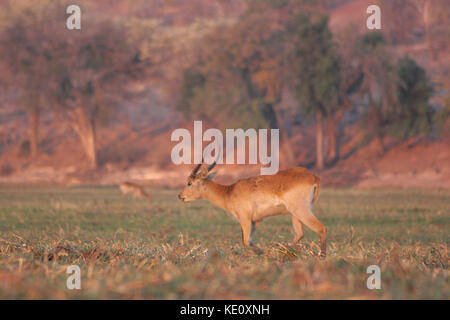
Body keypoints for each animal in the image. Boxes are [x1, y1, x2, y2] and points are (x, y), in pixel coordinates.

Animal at [179, 160, 326, 258]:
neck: (229, 192)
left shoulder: (245, 219)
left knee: (320, 228)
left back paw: (321, 256)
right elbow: (248, 241)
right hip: (295, 214)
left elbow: (245, 241)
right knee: (299, 234)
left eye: (189, 183)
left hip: (301, 211)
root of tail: (313, 177)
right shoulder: (256, 221)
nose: (180, 196)